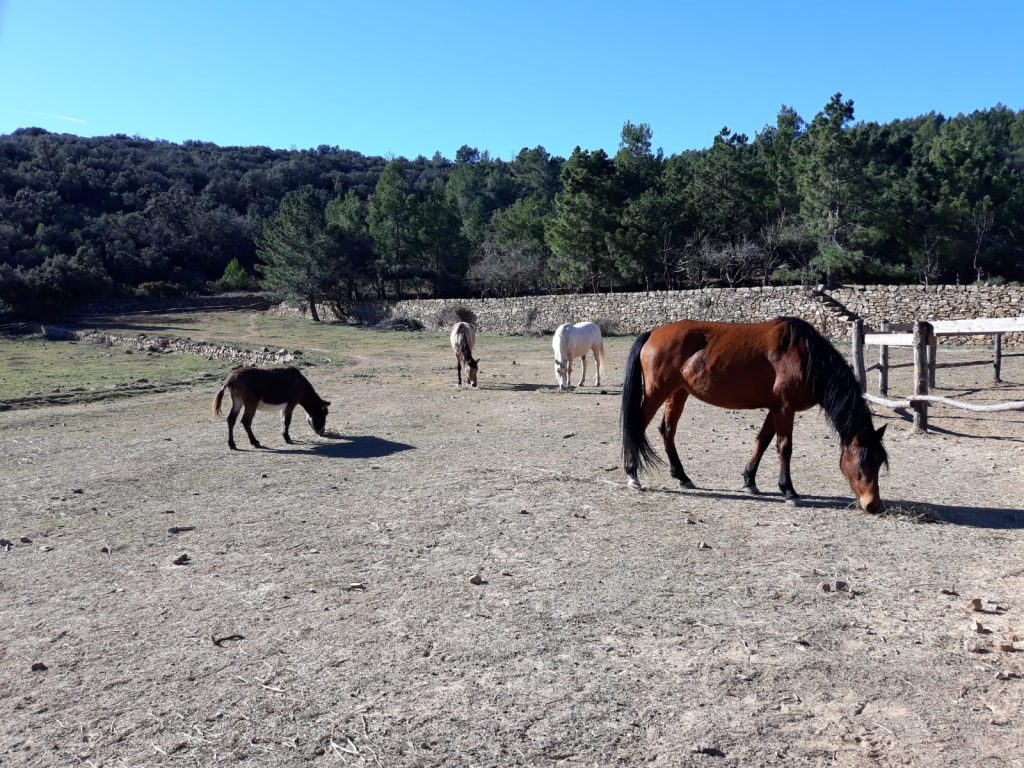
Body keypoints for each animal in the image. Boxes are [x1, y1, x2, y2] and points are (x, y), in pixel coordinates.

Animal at [618, 315, 884, 514]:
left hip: (678, 393)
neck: (804, 355)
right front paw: (789, 491)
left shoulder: (776, 409)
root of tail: (653, 333)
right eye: (863, 463)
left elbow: (762, 441)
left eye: (879, 461)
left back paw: (682, 476)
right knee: (637, 426)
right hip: (656, 393)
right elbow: (784, 448)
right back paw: (633, 476)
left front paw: (749, 481)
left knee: (668, 431)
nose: (873, 505)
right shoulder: (785, 408)